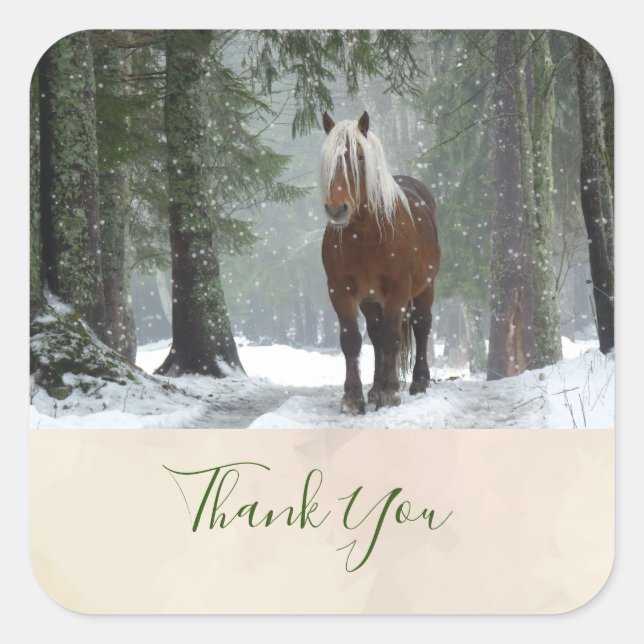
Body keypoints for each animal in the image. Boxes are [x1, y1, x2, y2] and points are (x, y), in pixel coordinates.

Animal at [320, 111, 440, 414]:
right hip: (370, 299)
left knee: (421, 326)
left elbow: (392, 338)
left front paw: (390, 393)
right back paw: (374, 388)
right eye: (327, 159)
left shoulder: (398, 290)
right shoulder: (340, 291)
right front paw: (353, 398)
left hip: (425, 288)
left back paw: (418, 382)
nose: (337, 209)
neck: (367, 235)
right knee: (375, 335)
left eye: (360, 157)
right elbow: (352, 340)